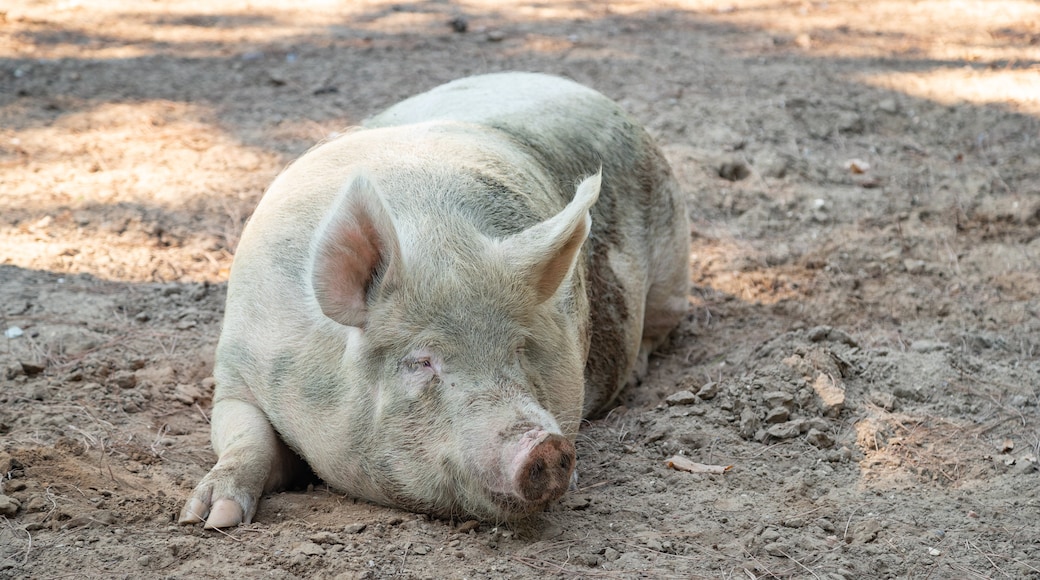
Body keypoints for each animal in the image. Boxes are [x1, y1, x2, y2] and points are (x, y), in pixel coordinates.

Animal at [178, 72, 690, 532]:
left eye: (519, 349)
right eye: (421, 361)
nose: (546, 446)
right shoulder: (235, 371)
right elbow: (247, 438)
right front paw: (209, 518)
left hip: (674, 270)